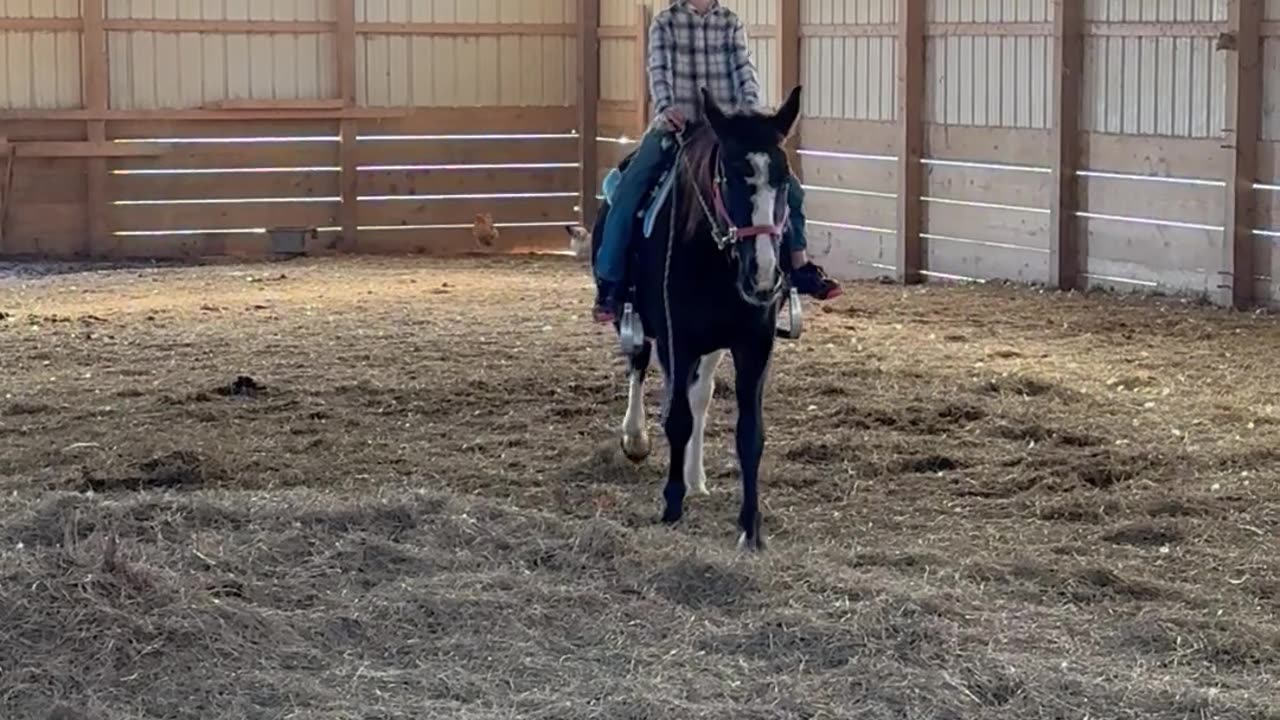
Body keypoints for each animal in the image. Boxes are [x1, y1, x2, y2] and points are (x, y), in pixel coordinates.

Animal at [570, 87, 798, 545]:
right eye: (728, 177)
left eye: (784, 180)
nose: (763, 274)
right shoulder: (679, 337)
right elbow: (676, 418)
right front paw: (672, 507)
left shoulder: (754, 344)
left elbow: (749, 432)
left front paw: (751, 528)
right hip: (637, 320)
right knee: (639, 366)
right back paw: (636, 439)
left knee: (699, 395)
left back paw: (696, 478)